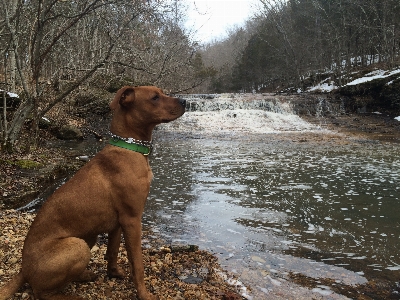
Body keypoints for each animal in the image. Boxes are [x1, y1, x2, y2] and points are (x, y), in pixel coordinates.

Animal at [0, 85, 186, 298]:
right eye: (155, 97)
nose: (185, 101)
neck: (129, 146)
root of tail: (23, 269)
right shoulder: (132, 219)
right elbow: (137, 264)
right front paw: (143, 294)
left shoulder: (118, 223)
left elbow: (113, 251)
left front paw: (113, 273)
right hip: (78, 246)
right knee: (42, 293)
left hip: (88, 236)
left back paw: (85, 275)